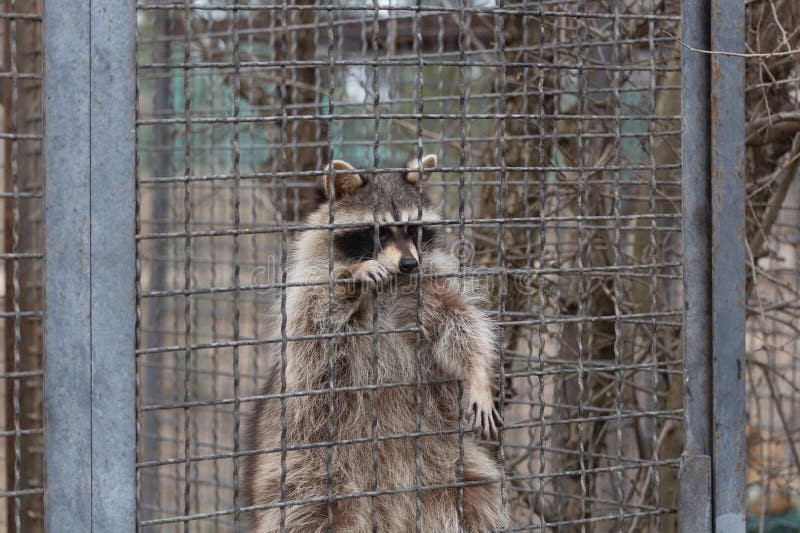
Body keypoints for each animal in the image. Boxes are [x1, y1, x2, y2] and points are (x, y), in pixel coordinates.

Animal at [244, 153, 510, 528]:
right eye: (380, 232)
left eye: (412, 229)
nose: (409, 263)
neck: (393, 283)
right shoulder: (305, 293)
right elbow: (315, 320)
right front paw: (354, 276)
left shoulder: (429, 286)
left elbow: (458, 322)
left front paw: (478, 375)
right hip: (306, 466)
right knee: (305, 511)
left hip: (449, 462)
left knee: (477, 497)